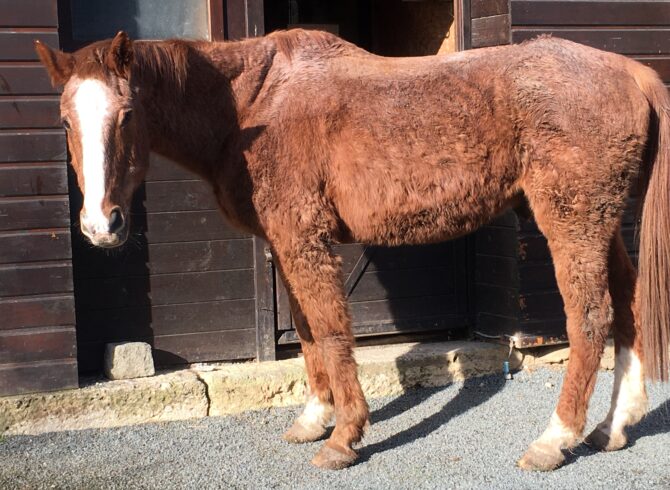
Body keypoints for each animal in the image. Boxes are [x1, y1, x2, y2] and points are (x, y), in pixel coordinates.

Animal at [35, 29, 670, 471]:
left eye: (127, 115)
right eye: (64, 121)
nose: (101, 225)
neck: (250, 106)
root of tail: (631, 72)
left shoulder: (305, 241)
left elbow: (332, 331)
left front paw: (343, 439)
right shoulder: (285, 244)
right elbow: (307, 331)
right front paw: (315, 418)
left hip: (572, 220)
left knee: (591, 318)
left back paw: (554, 440)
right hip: (600, 223)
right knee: (628, 308)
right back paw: (614, 428)